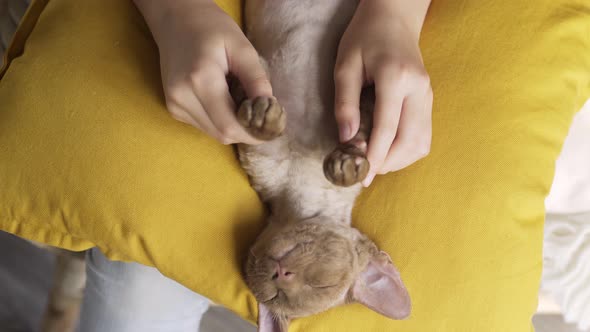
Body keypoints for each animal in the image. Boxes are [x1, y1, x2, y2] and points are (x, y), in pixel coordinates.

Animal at [232, 1, 412, 330]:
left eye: (321, 285)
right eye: (274, 291)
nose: (281, 272)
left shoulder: (362, 98)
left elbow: (363, 126)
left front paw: (347, 163)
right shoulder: (261, 154)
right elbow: (248, 102)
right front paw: (262, 117)